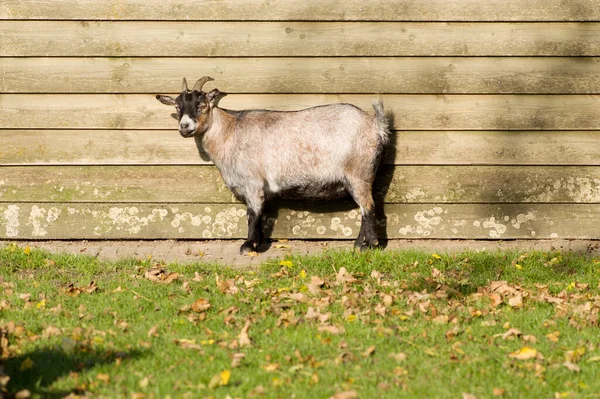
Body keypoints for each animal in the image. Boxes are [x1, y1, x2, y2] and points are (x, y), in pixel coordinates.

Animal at [155, 76, 392, 255]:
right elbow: (260, 214)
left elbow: (252, 214)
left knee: (368, 206)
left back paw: (368, 246)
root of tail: (375, 124)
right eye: (177, 106)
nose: (185, 126)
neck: (230, 132)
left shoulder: (253, 184)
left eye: (201, 105)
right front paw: (259, 243)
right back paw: (359, 244)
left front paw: (249, 246)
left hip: (359, 173)